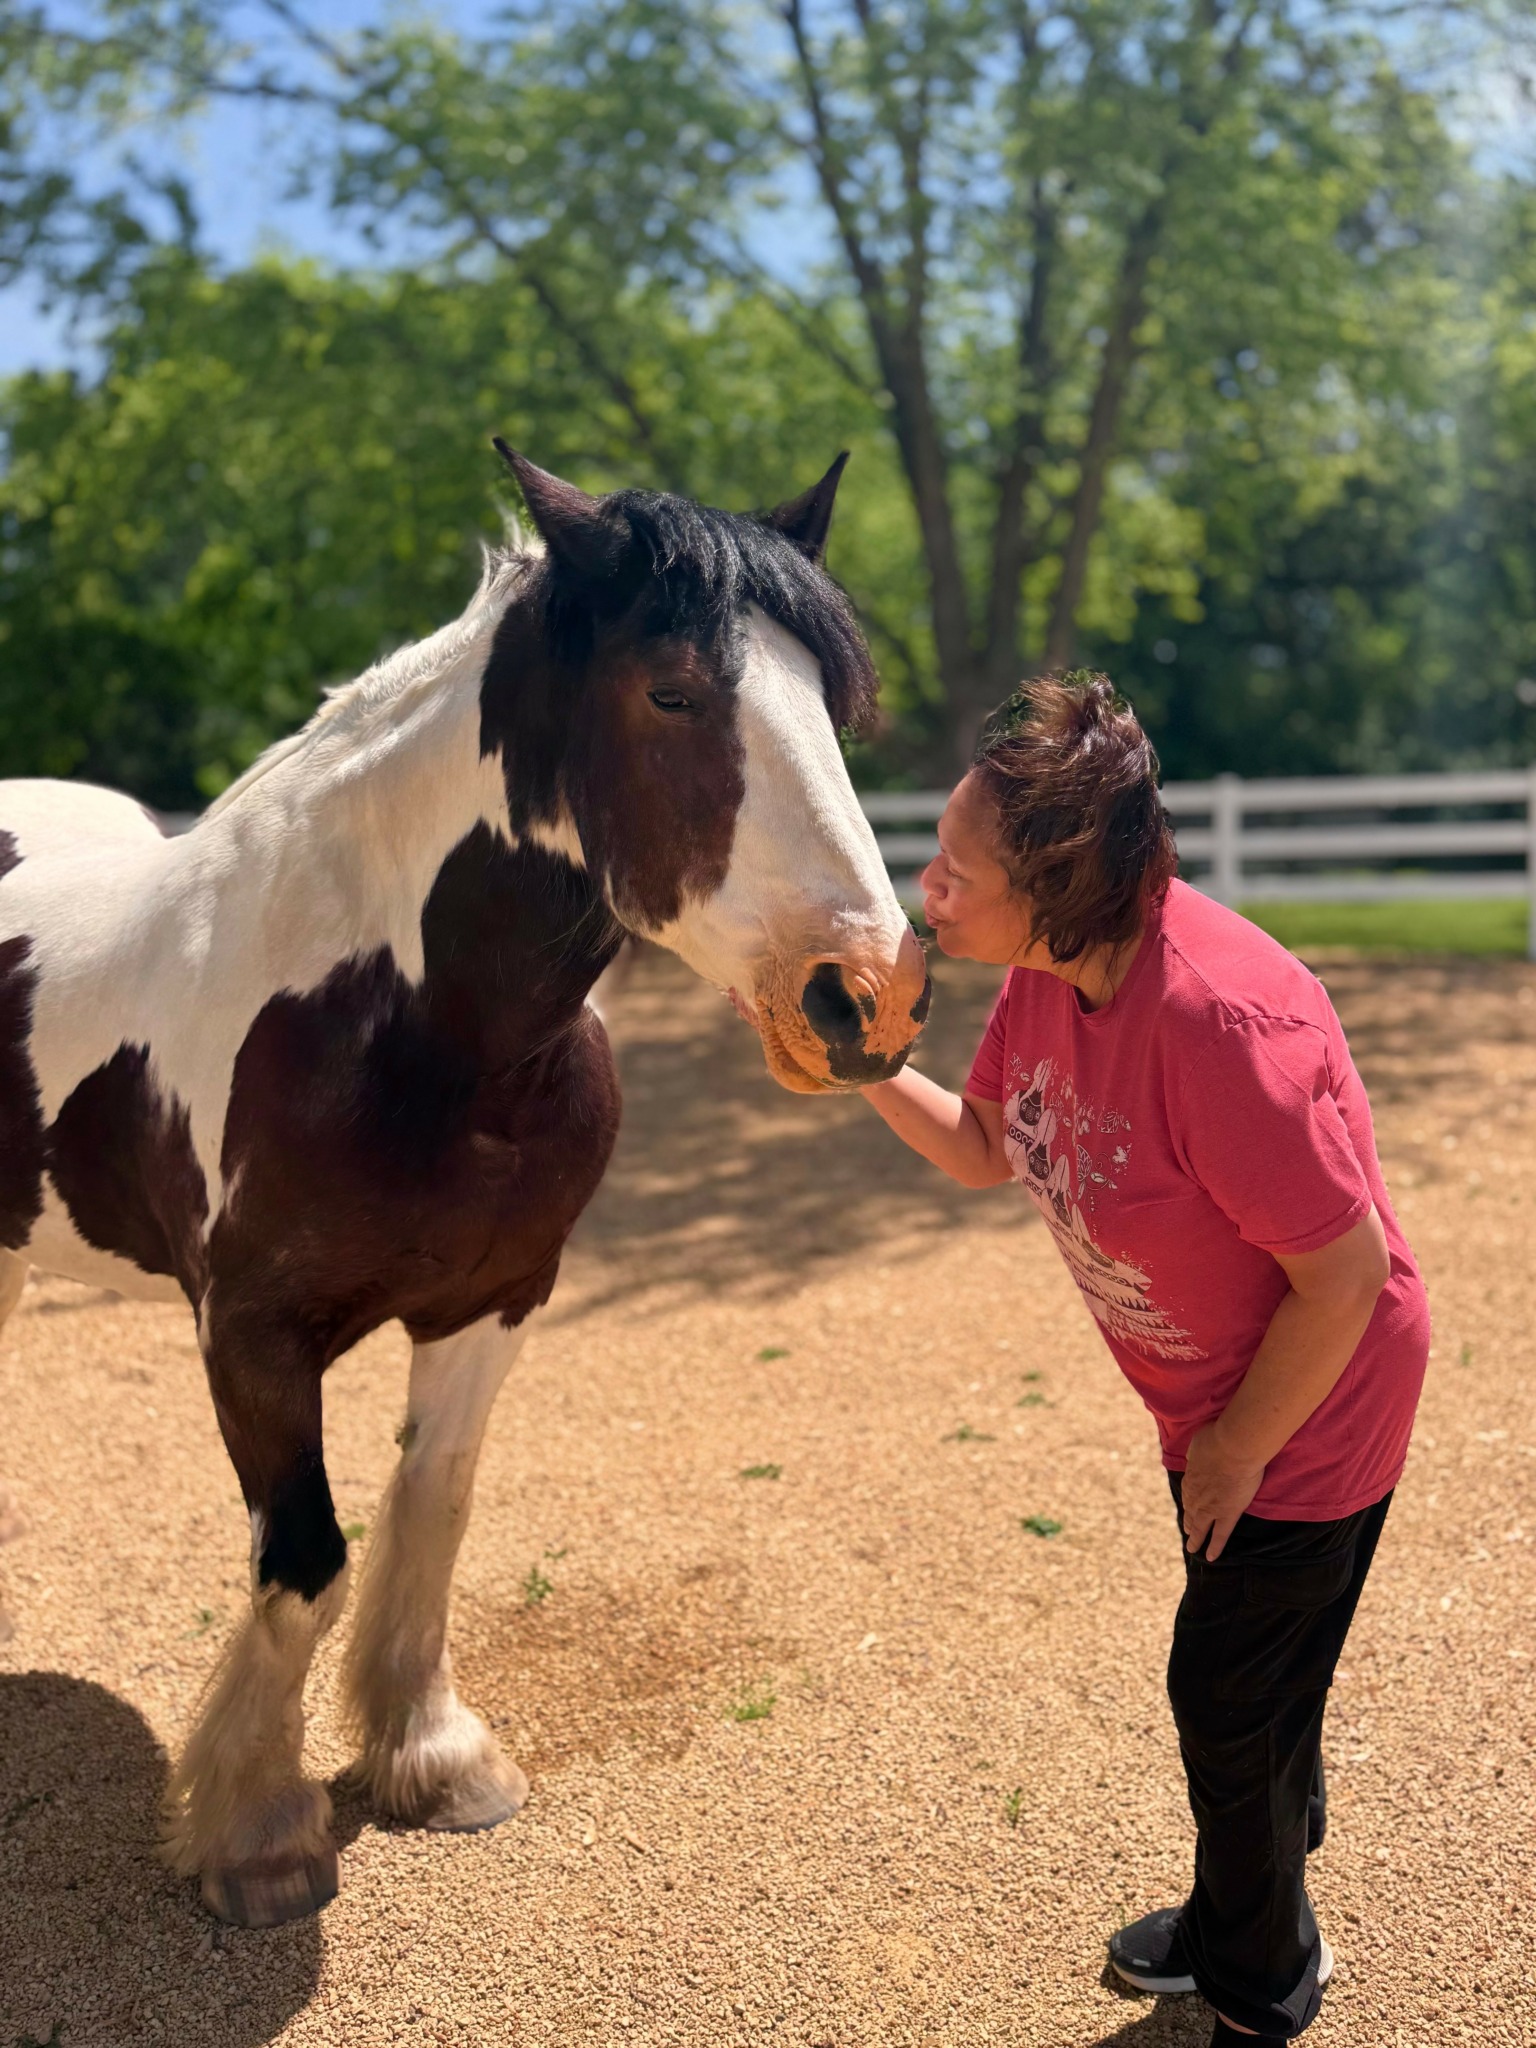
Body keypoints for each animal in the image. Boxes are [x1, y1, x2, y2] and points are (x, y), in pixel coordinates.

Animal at [0, 446, 930, 1927]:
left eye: (835, 701)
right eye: (671, 690)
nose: (867, 997)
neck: (408, 1031)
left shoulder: (495, 1300)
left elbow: (432, 1509)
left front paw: (430, 1759)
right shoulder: (250, 1335)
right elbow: (304, 1559)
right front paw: (256, 1833)